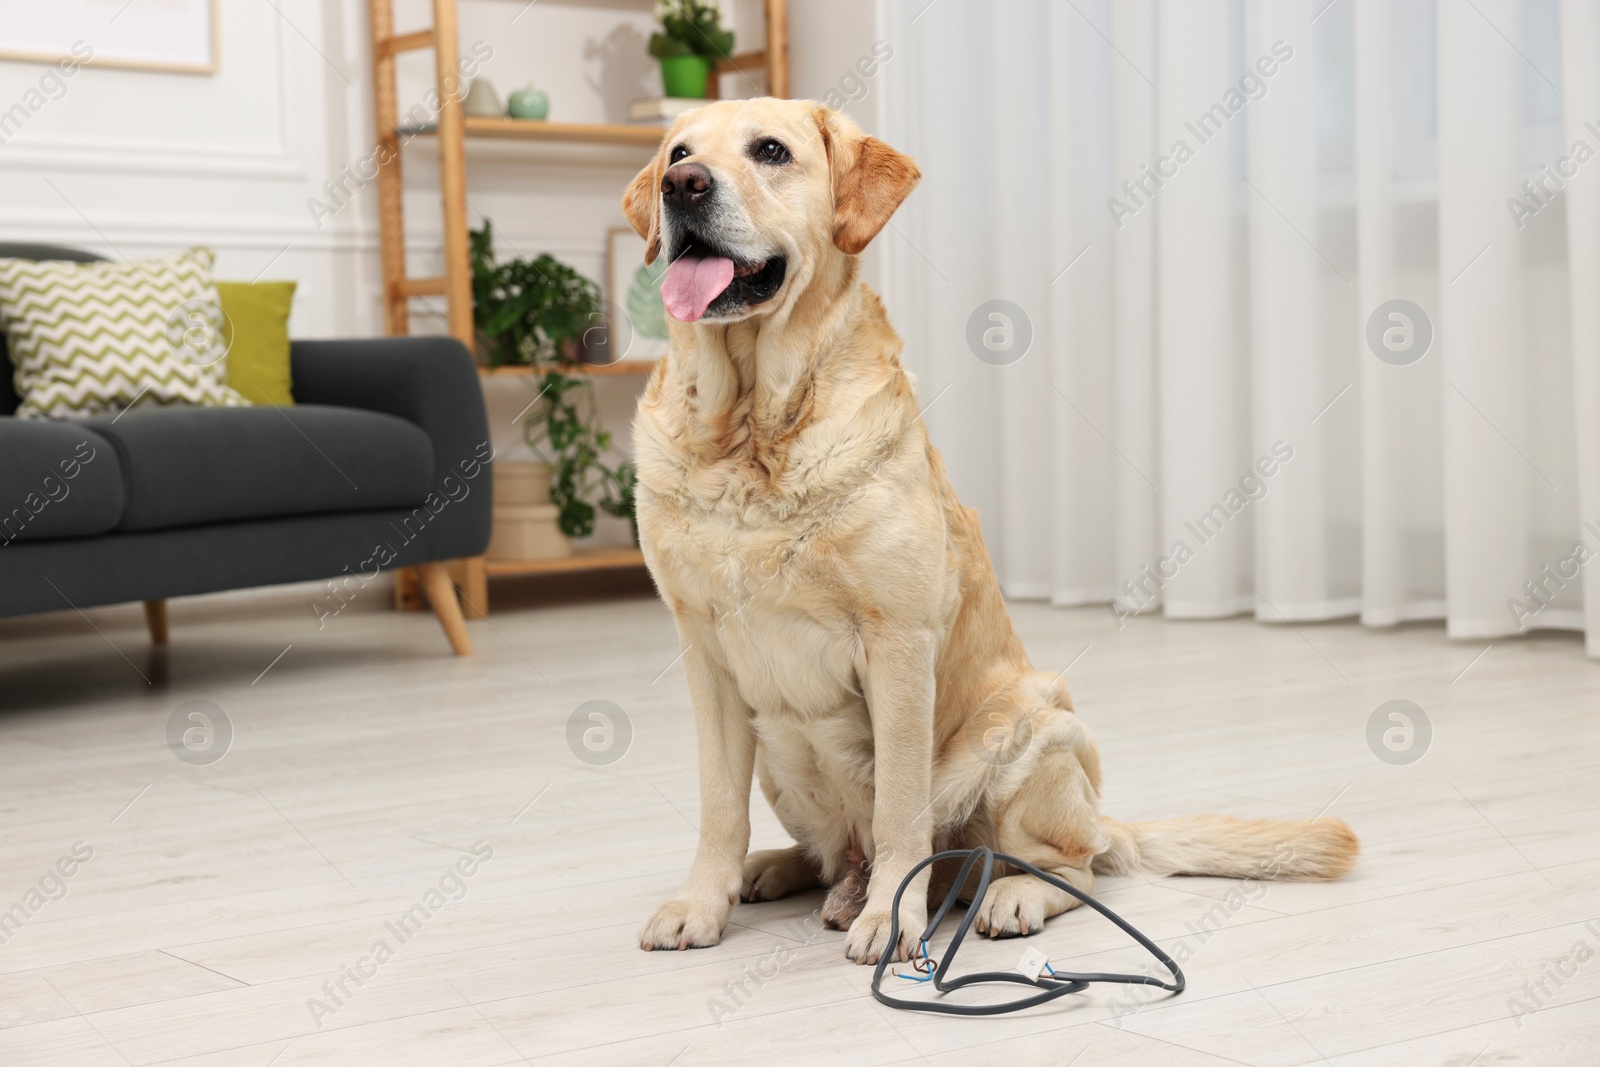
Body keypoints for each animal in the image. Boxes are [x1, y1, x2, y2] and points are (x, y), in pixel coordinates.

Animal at [624, 102, 1363, 966]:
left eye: (771, 151)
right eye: (679, 151)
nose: (681, 186)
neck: (751, 430)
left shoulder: (897, 646)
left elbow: (899, 808)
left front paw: (892, 917)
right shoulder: (704, 653)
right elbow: (718, 806)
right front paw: (702, 900)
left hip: (1037, 727)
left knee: (1066, 866)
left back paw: (1002, 896)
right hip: (780, 751)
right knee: (829, 850)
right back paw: (775, 871)